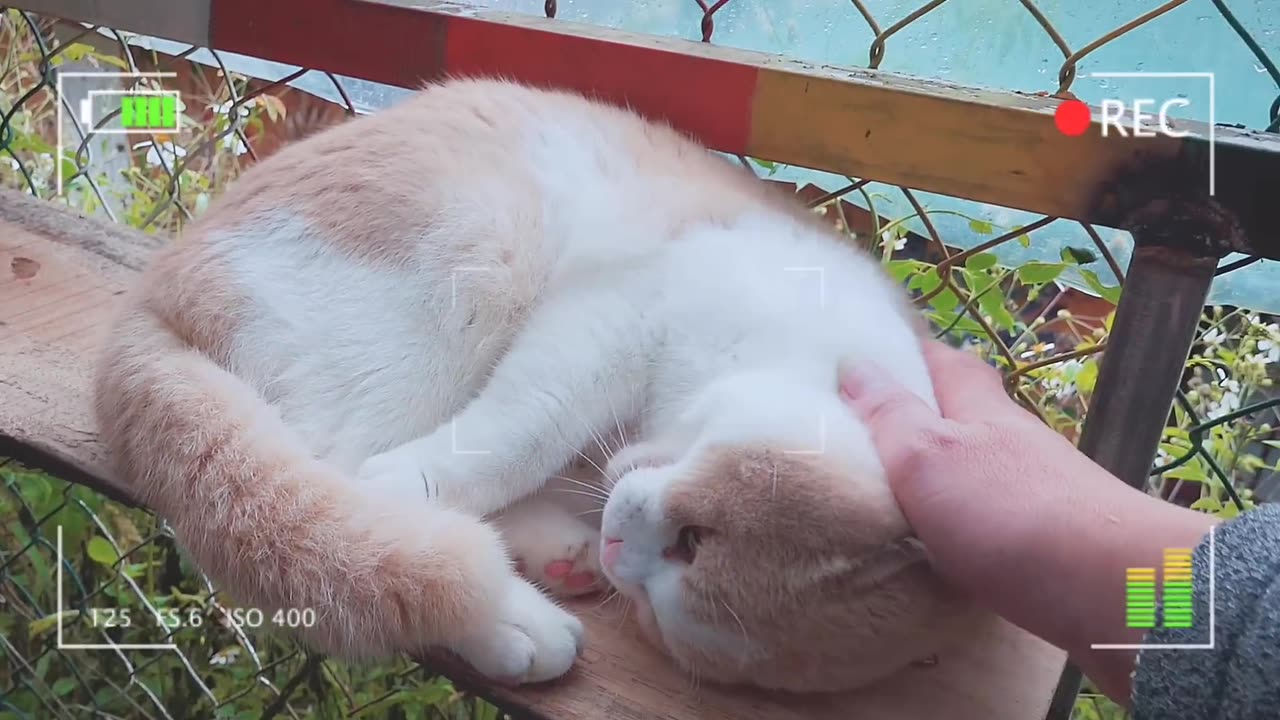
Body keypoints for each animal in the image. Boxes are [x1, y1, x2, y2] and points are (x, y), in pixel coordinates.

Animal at [97, 77, 977, 691]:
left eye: (664, 603)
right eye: (696, 534)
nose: (621, 546)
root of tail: (150, 292)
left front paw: (560, 540)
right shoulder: (612, 318)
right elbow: (519, 433)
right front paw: (441, 493)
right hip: (482, 250)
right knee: (337, 492)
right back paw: (502, 614)